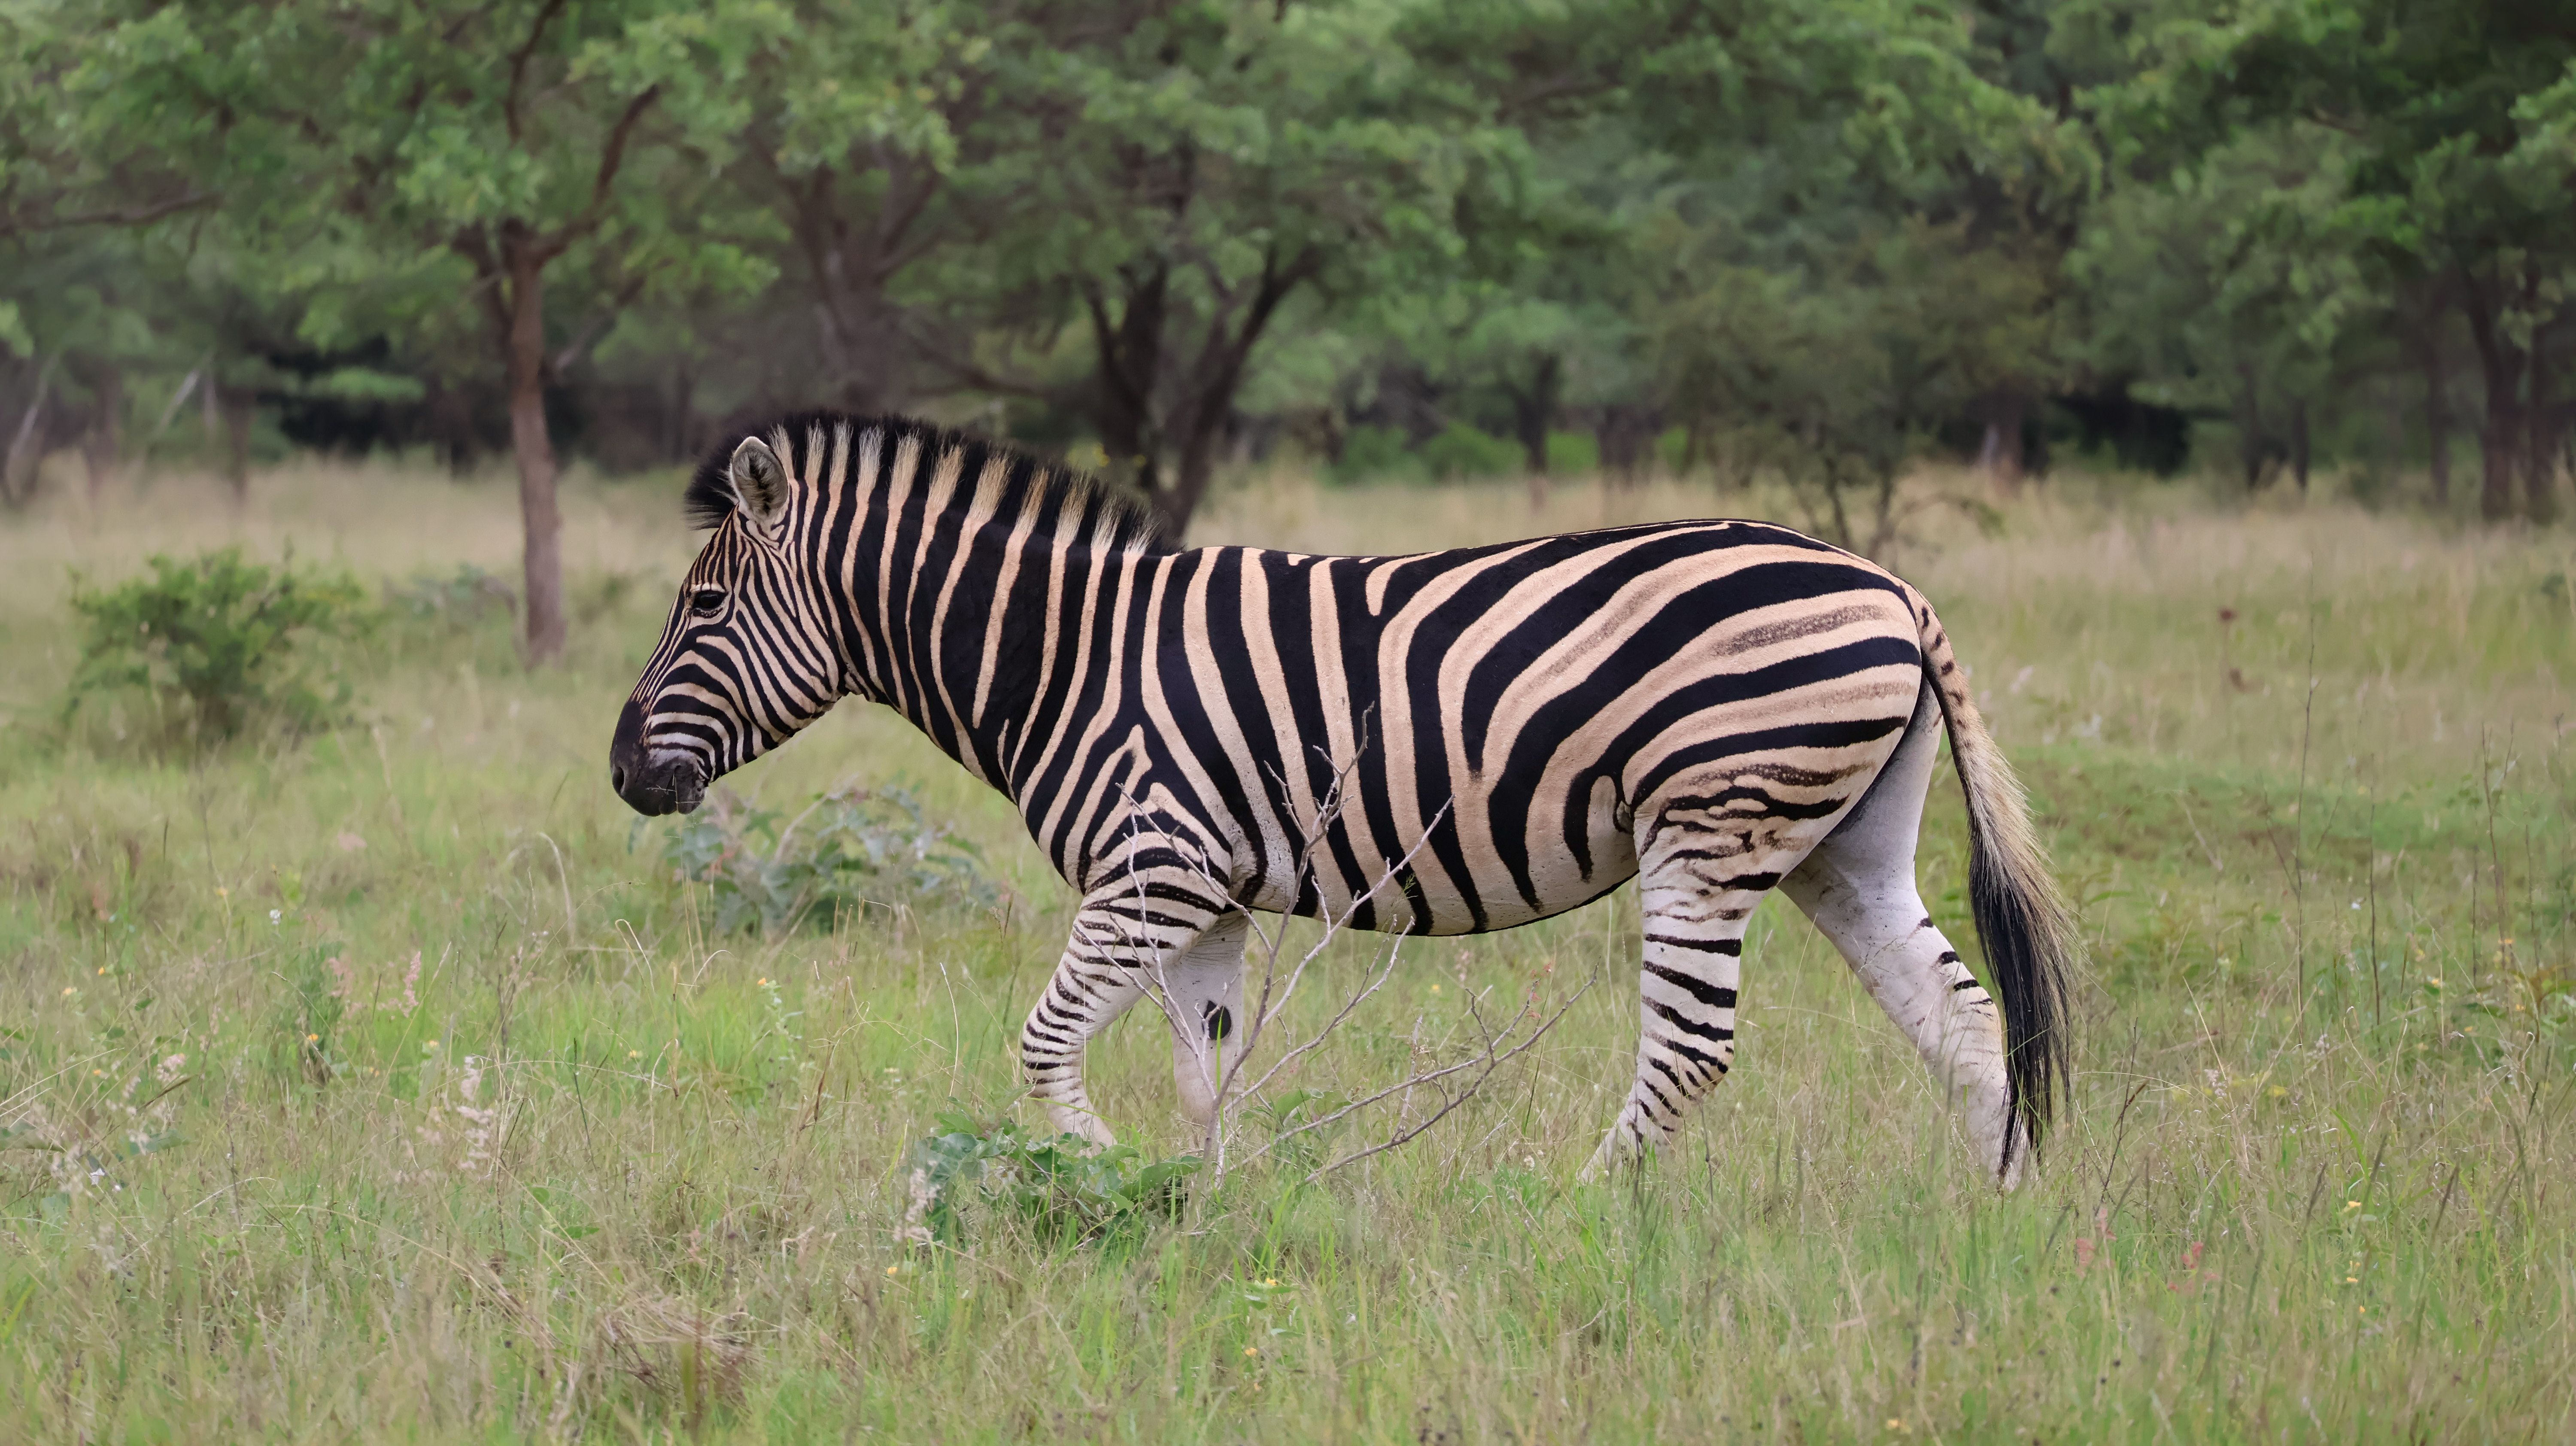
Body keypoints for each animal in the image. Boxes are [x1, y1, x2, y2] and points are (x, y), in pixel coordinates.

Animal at [609, 412, 2076, 1185]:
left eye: (704, 606)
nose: (622, 772)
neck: (1064, 655)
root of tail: (1894, 589)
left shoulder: (1147, 875)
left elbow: (1041, 1050)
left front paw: (1097, 1183)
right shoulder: (1200, 903)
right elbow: (1208, 1075)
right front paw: (1203, 1208)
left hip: (1713, 823)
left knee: (1691, 1048)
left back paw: (1582, 1212)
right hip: (1843, 845)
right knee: (1962, 1021)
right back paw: (1993, 1229)